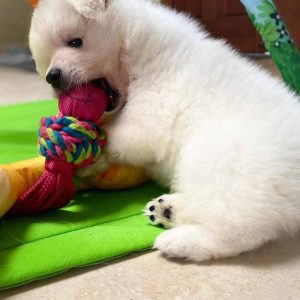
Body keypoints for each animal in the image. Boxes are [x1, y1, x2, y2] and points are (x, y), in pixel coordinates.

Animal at [28, 0, 300, 262]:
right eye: (45, 61)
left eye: (75, 42)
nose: (52, 77)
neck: (139, 52)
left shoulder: (148, 116)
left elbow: (115, 137)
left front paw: (81, 155)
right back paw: (166, 209)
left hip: (218, 158)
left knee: (239, 228)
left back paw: (180, 241)